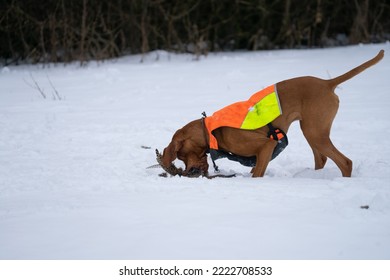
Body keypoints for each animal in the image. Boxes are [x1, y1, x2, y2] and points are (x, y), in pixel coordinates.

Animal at [158, 50, 384, 177]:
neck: (211, 129)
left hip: (314, 132)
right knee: (321, 159)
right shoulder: (261, 154)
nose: (188, 172)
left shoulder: (266, 146)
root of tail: (327, 83)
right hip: (312, 131)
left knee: (345, 163)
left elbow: (256, 174)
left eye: (181, 155)